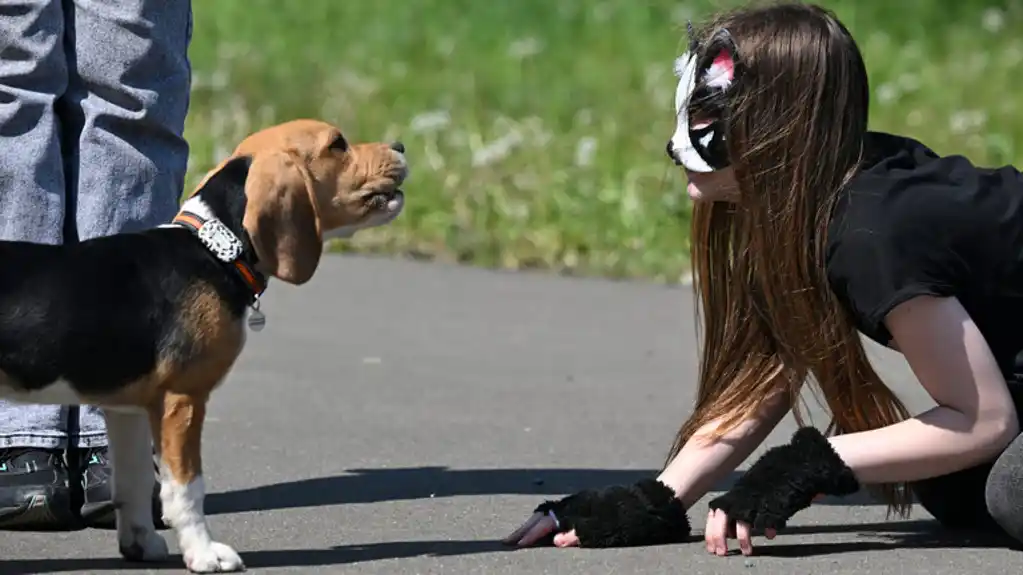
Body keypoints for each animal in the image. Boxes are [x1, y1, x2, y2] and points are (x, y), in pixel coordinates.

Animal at [0, 118, 407, 568]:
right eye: (338, 144)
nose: (401, 146)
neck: (215, 248)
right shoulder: (182, 399)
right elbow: (187, 489)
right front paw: (204, 553)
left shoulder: (128, 409)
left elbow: (134, 482)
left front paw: (141, 544)